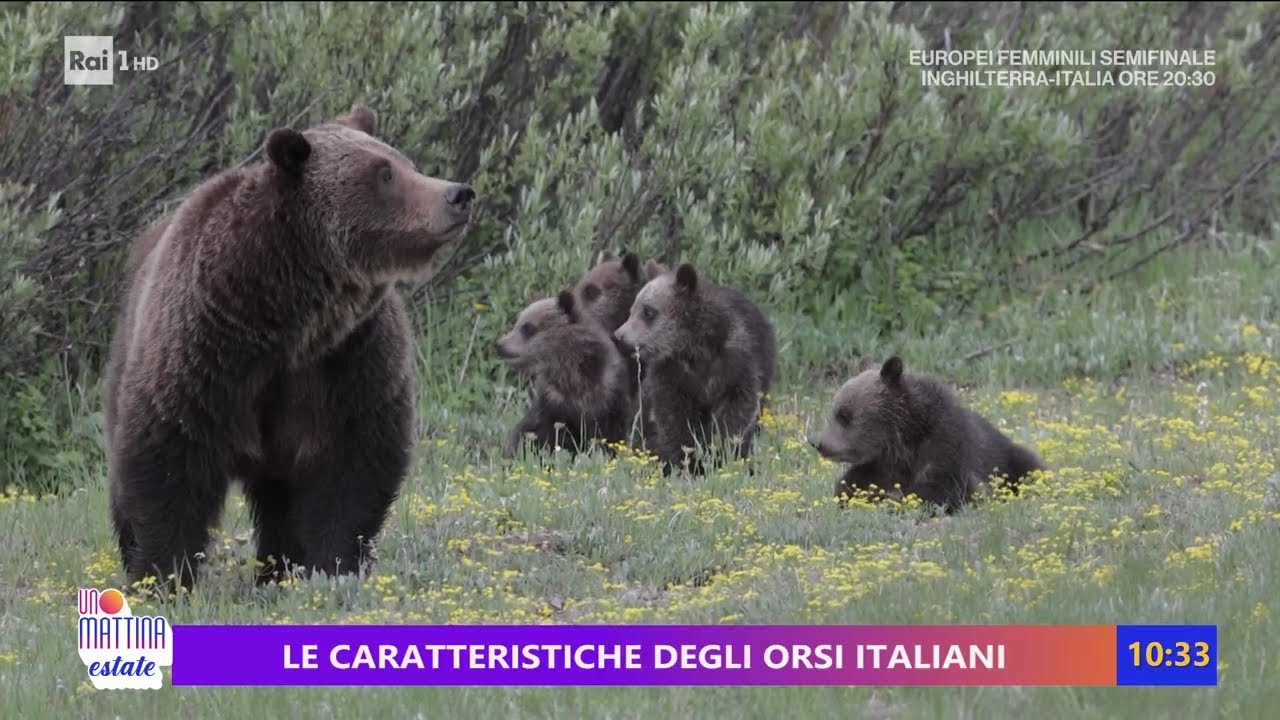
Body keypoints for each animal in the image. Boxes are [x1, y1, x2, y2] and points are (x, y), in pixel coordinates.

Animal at [103, 103, 475, 593]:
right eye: (385, 174)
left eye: (405, 164)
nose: (458, 194)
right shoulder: (204, 354)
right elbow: (169, 458)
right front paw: (163, 578)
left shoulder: (351, 358)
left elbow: (352, 467)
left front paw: (331, 568)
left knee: (281, 500)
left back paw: (278, 569)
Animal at [495, 290, 634, 458]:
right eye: (518, 323)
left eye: (527, 327)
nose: (500, 345)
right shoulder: (553, 403)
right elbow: (534, 432)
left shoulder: (609, 398)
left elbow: (611, 433)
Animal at [613, 262, 777, 475]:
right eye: (632, 309)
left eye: (648, 311)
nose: (619, 336)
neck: (694, 349)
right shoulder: (672, 375)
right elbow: (672, 418)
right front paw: (684, 461)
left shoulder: (737, 364)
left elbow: (736, 413)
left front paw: (721, 454)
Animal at [810, 355, 1048, 514]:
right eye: (835, 411)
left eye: (844, 415)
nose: (819, 443)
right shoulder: (880, 465)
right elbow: (850, 483)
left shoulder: (947, 449)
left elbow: (942, 488)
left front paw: (895, 499)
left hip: (1011, 457)